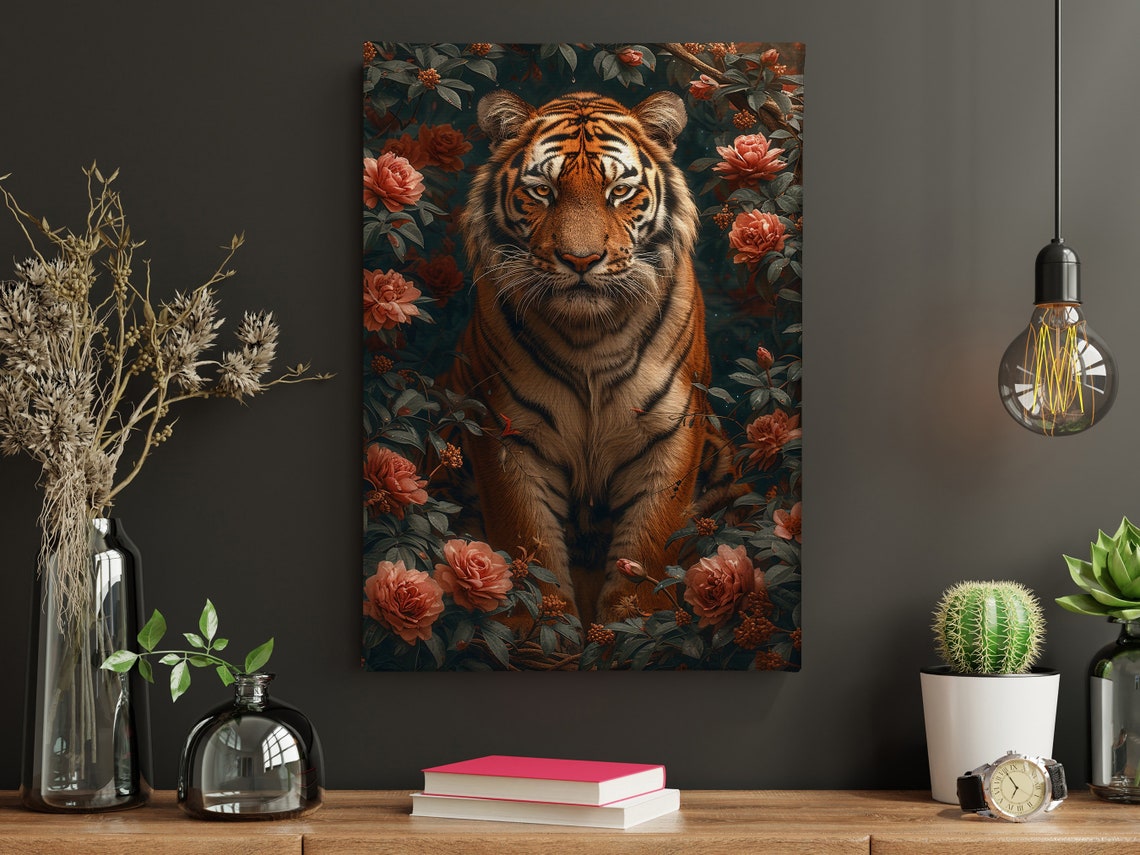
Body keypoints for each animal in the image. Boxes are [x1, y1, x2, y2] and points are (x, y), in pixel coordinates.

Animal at [451, 89, 739, 626]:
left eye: (620, 191)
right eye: (542, 191)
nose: (581, 260)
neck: (589, 334)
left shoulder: (672, 431)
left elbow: (649, 552)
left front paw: (636, 628)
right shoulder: (505, 433)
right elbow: (527, 549)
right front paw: (540, 631)